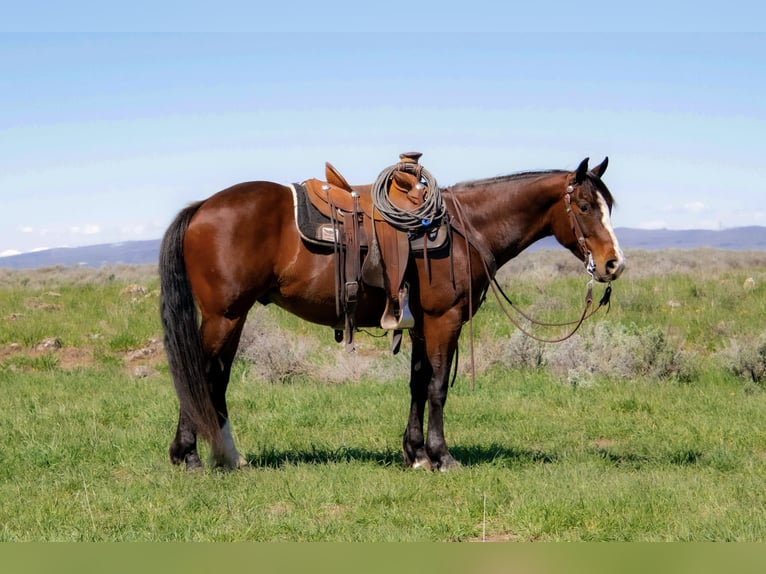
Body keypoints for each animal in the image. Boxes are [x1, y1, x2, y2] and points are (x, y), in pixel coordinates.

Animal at [160, 155, 624, 470]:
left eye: (609, 206)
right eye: (585, 206)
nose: (613, 264)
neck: (467, 228)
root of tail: (203, 206)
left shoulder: (419, 324)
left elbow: (418, 384)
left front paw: (415, 453)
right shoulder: (443, 319)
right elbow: (437, 387)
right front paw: (442, 456)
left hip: (232, 318)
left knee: (215, 380)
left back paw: (227, 456)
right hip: (224, 316)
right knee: (202, 376)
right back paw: (190, 457)